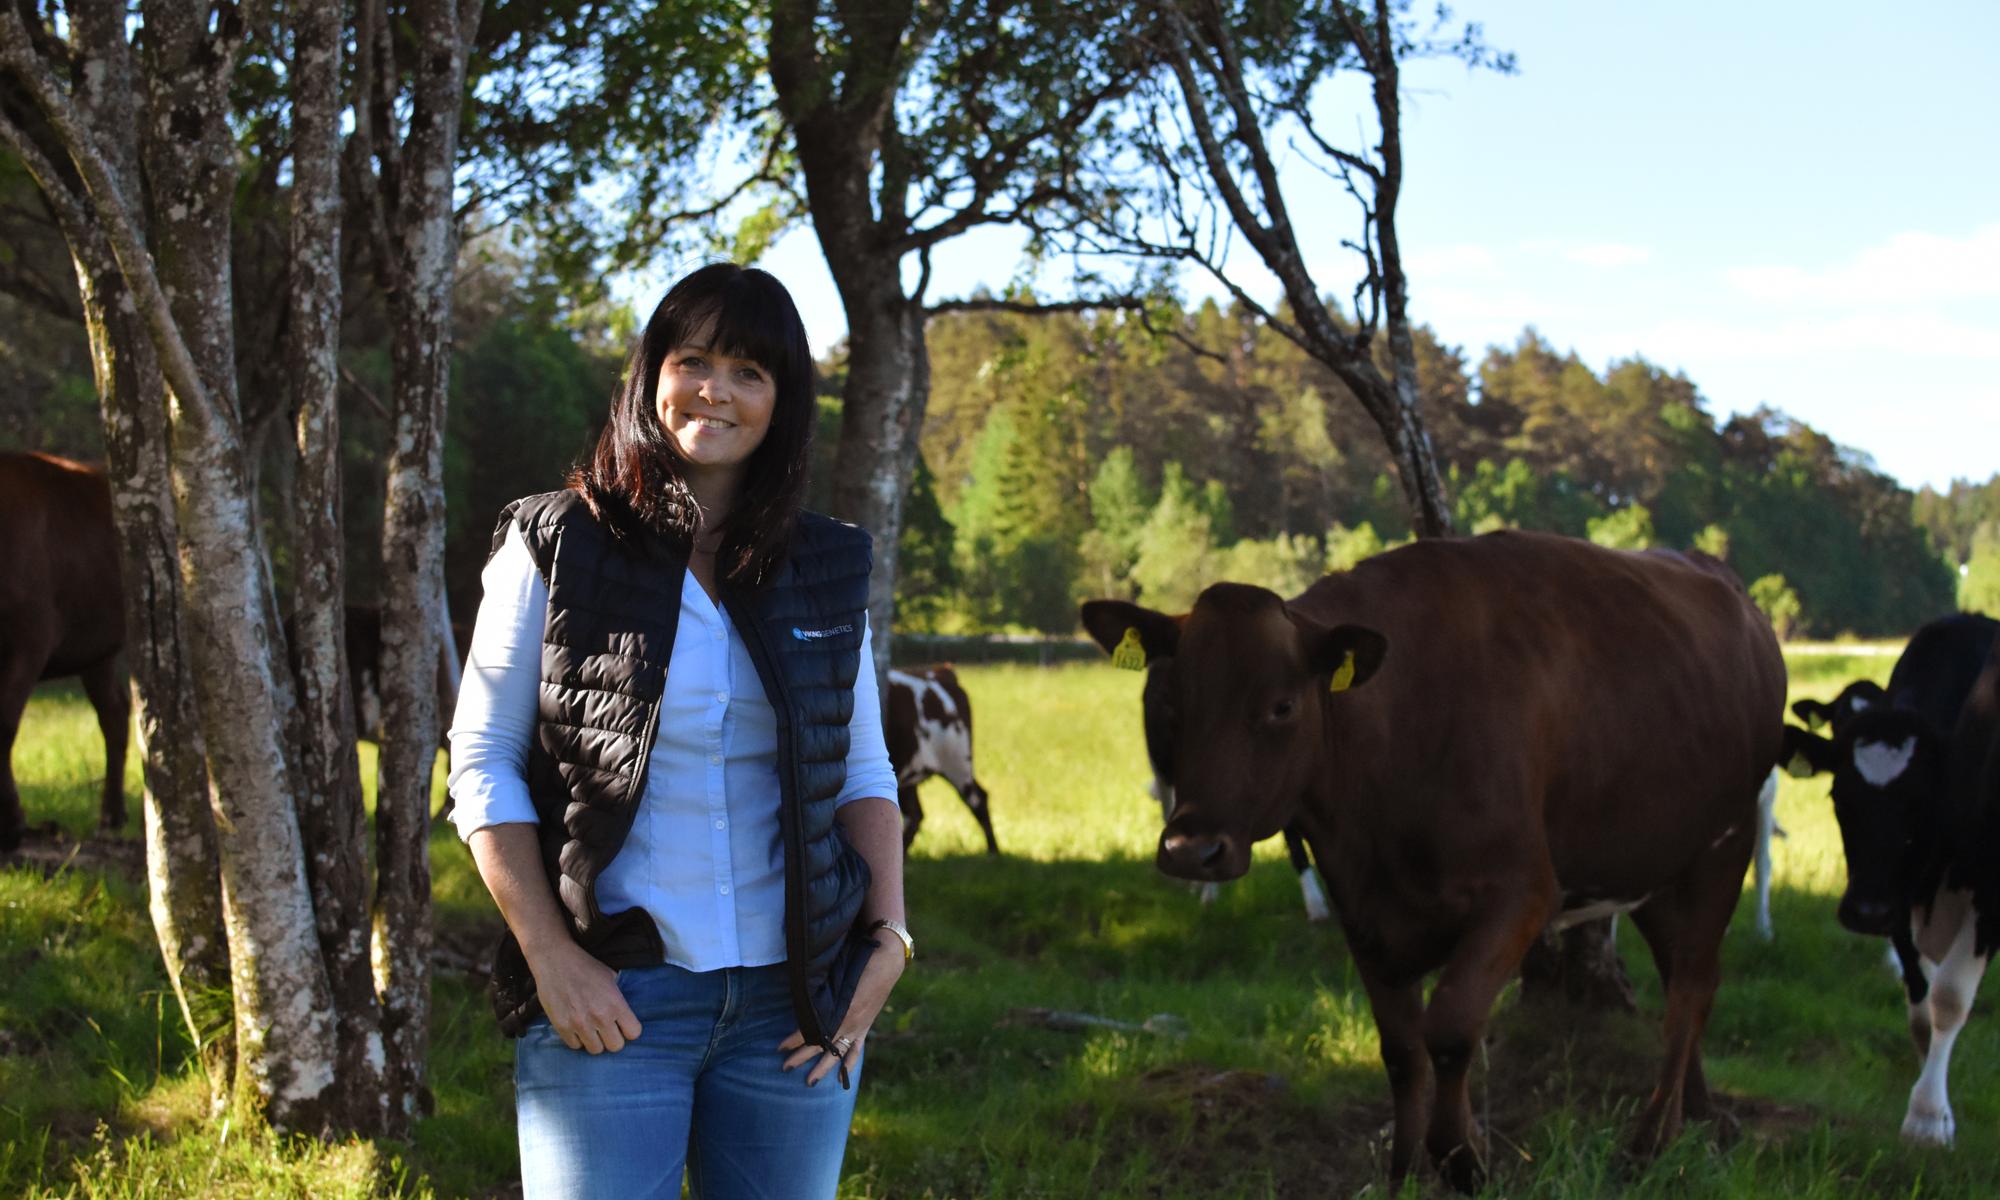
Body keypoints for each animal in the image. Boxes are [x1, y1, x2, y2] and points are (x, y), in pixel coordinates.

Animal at [0, 452, 129, 852]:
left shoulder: (30, 645)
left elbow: (4, 726)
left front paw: (12, 826)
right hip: (100, 653)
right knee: (115, 711)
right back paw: (112, 815)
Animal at [888, 664, 996, 852]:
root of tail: (941, 670)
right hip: (908, 769)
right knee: (914, 815)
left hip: (958, 764)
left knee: (978, 800)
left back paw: (993, 853)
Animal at [1784, 616, 2000, 1152]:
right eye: (1839, 796)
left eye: (1921, 802)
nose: (1864, 912)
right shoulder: (1897, 899)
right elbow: (1921, 1001)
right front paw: (1932, 1097)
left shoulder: (1990, 895)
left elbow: (1950, 997)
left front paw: (1927, 1118)